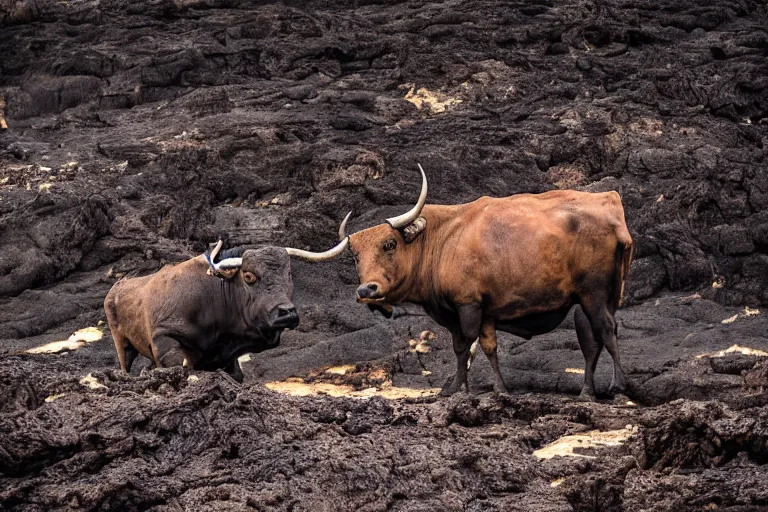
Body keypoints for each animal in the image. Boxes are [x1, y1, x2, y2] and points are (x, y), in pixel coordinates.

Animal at [102, 237, 348, 380]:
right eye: (249, 276)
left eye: (289, 273)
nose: (286, 313)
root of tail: (115, 290)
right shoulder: (164, 336)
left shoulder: (228, 359)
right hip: (122, 345)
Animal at [340, 166, 632, 398]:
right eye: (355, 255)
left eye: (389, 244)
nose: (366, 289)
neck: (443, 237)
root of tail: (610, 203)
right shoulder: (482, 314)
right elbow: (484, 347)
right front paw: (486, 387)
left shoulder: (468, 306)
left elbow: (468, 346)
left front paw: (458, 387)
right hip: (592, 301)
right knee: (591, 340)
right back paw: (587, 391)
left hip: (593, 295)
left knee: (607, 330)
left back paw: (617, 386)